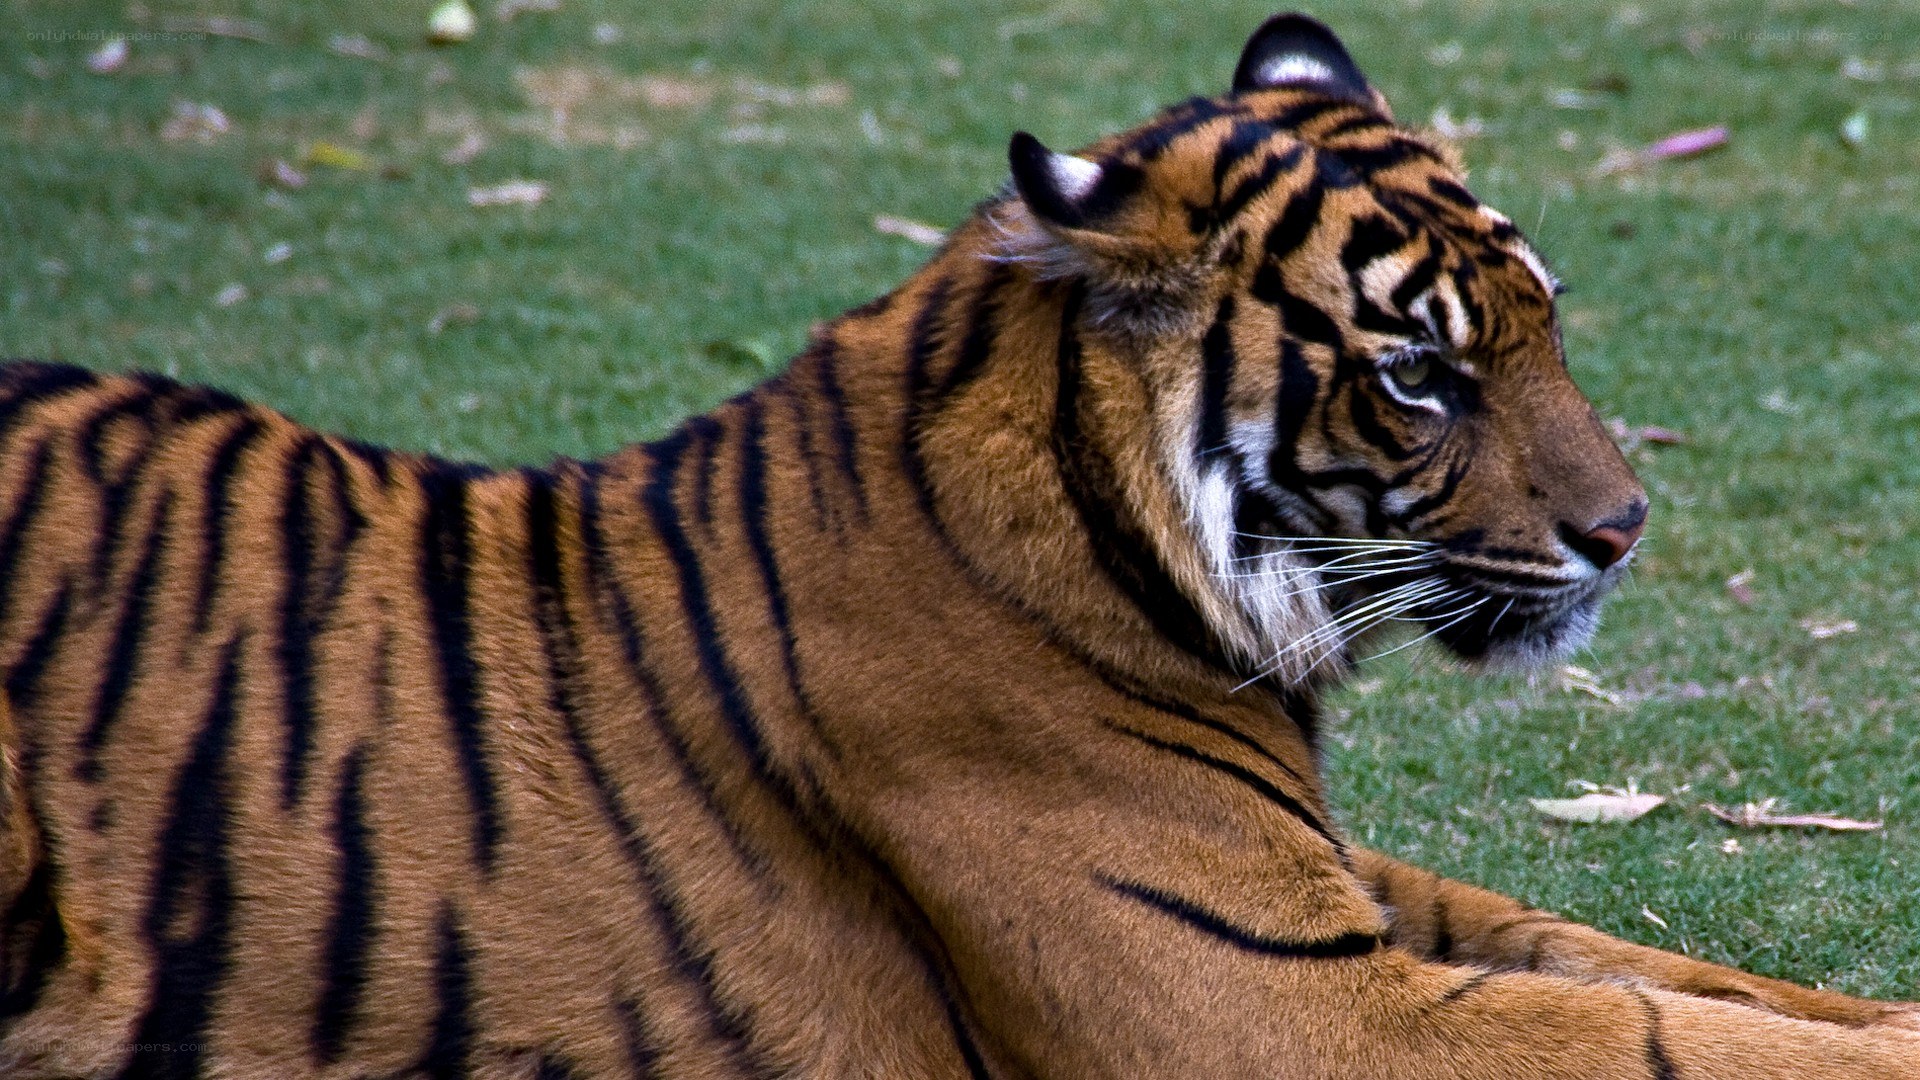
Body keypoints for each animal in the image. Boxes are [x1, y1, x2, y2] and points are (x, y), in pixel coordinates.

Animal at [0, 11, 1915, 1079]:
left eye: (1544, 325)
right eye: (1419, 376)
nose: (1628, 528)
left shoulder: (1338, 898)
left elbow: (1649, 965)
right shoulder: (1283, 1007)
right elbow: (1659, 1033)